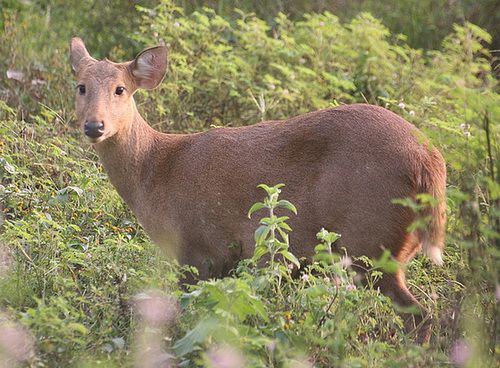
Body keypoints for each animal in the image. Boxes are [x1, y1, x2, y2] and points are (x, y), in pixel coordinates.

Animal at [69, 37, 446, 342]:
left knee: (420, 316)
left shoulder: (198, 248)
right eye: (81, 86)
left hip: (371, 240)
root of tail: (430, 163)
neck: (157, 171)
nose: (94, 126)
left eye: (120, 89)